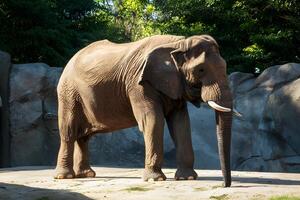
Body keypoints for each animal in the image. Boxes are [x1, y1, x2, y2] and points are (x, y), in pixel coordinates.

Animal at [53, 34, 237, 188]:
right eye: (201, 70)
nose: (224, 185)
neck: (178, 44)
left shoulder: (173, 85)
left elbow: (181, 123)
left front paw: (187, 178)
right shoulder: (139, 84)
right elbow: (153, 120)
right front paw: (155, 179)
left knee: (84, 137)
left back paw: (87, 175)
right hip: (68, 93)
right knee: (69, 132)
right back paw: (65, 177)